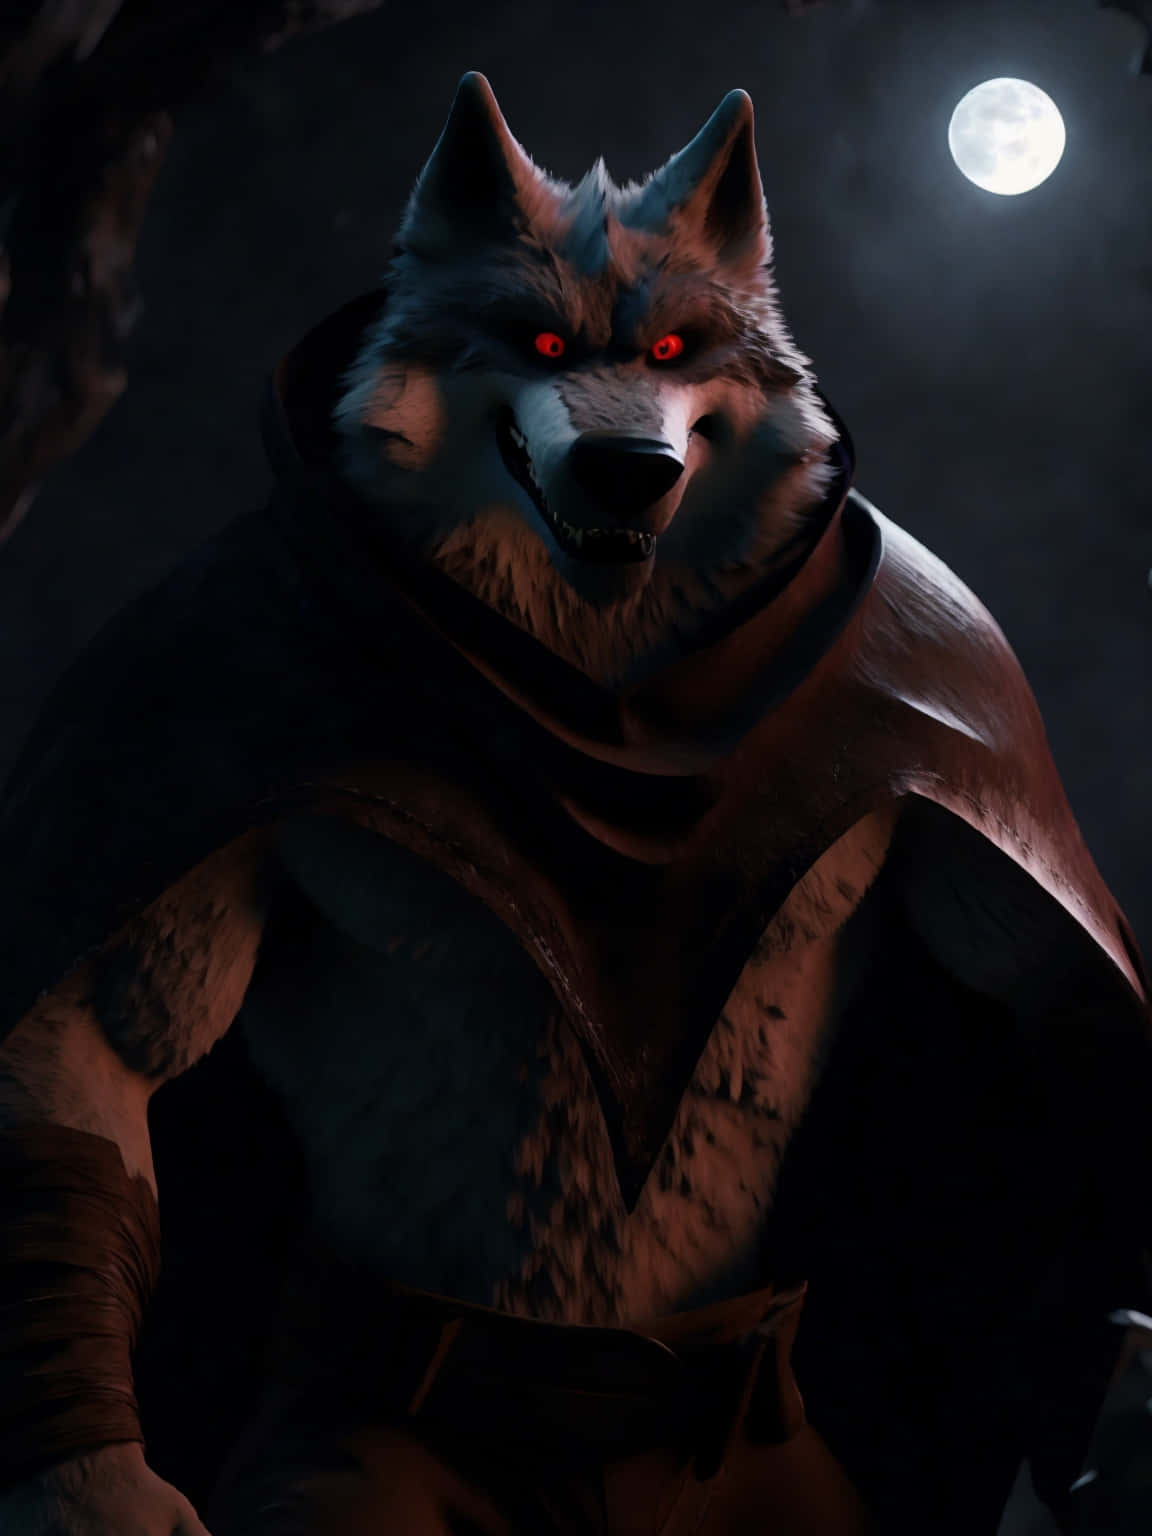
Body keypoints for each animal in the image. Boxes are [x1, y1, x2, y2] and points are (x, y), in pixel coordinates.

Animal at [0, 71, 1147, 1536]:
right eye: (540, 339)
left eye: (673, 348)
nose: (627, 471)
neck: (612, 708)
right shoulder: (192, 694)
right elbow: (95, 1045)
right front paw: (103, 1492)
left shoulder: (953, 696)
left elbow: (1059, 996)